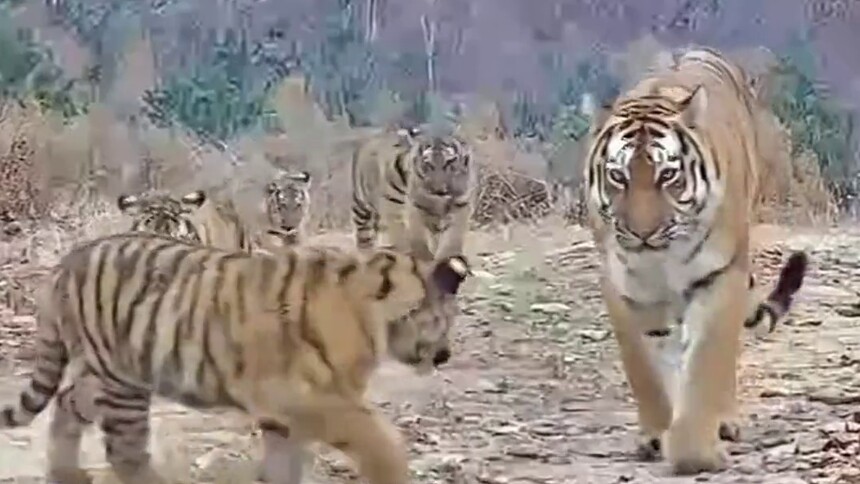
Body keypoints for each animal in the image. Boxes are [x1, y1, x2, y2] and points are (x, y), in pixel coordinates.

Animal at [0, 232, 471, 484]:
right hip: (122, 381)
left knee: (66, 404)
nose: (446, 354)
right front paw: (396, 470)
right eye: (444, 318)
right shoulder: (307, 398)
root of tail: (65, 262)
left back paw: (66, 473)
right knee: (125, 451)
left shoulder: (286, 415)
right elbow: (377, 438)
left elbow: (283, 465)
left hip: (101, 372)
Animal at [351, 126, 476, 262]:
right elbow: (415, 236)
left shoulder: (460, 204)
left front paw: (449, 257)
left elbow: (453, 235)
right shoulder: (411, 208)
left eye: (449, 162)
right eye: (427, 163)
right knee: (364, 236)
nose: (439, 190)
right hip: (362, 207)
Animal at [581, 46, 810, 475]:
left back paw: (725, 422)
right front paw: (658, 433)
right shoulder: (624, 286)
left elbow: (704, 363)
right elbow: (645, 367)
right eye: (618, 176)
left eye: (667, 175)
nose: (642, 233)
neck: (661, 258)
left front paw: (695, 453)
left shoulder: (719, 276)